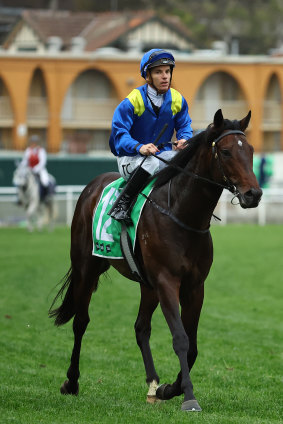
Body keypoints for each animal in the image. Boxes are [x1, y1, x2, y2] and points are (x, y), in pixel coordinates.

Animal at [49, 109, 264, 410]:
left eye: (251, 150)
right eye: (225, 151)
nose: (253, 194)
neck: (182, 215)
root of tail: (92, 185)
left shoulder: (194, 286)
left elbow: (192, 345)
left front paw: (169, 389)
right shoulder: (166, 282)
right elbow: (180, 339)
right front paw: (188, 396)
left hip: (146, 284)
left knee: (141, 328)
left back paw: (152, 384)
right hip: (86, 267)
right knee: (81, 321)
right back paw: (71, 381)